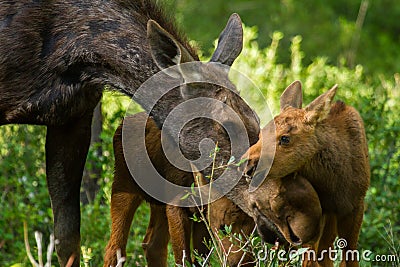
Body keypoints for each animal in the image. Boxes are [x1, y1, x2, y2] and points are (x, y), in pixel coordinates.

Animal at [242, 81, 370, 266]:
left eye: (285, 138)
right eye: (260, 134)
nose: (246, 164)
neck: (334, 185)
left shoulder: (356, 206)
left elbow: (350, 258)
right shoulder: (318, 215)